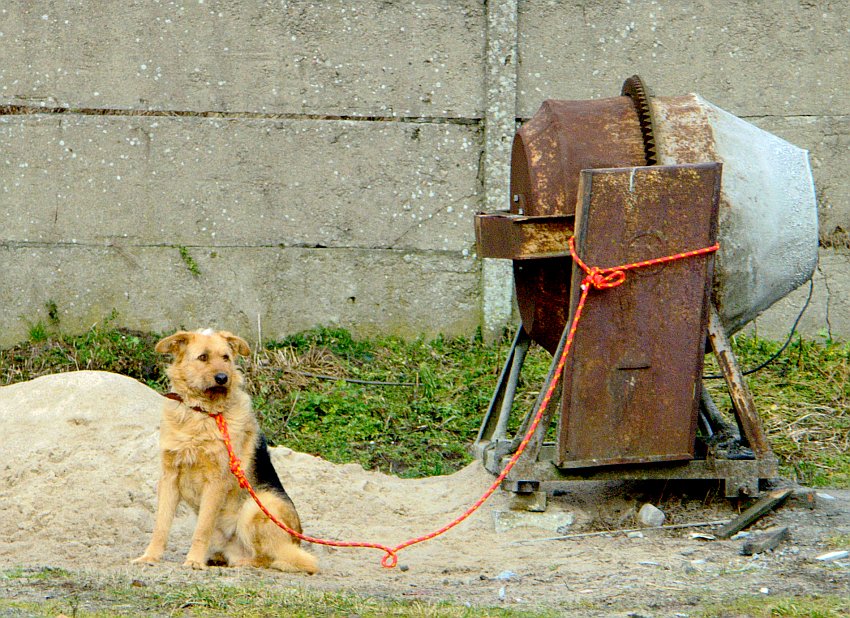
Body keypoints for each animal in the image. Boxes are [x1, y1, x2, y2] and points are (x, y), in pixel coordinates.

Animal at [132, 328, 318, 572]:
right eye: (203, 357)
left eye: (226, 358)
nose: (223, 378)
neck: (202, 413)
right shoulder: (169, 477)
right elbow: (161, 526)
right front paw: (150, 556)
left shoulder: (215, 482)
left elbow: (202, 529)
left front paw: (194, 560)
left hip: (256, 507)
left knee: (272, 559)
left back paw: (242, 562)